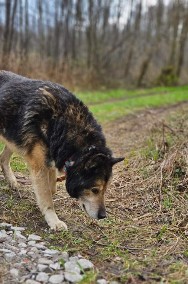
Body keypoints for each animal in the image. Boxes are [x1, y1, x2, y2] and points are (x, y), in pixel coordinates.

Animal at [0, 71, 124, 231]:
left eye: (105, 189)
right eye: (95, 189)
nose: (103, 216)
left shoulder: (51, 158)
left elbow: (51, 188)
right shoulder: (39, 167)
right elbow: (46, 197)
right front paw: (54, 221)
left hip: (13, 139)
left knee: (3, 159)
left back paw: (12, 182)